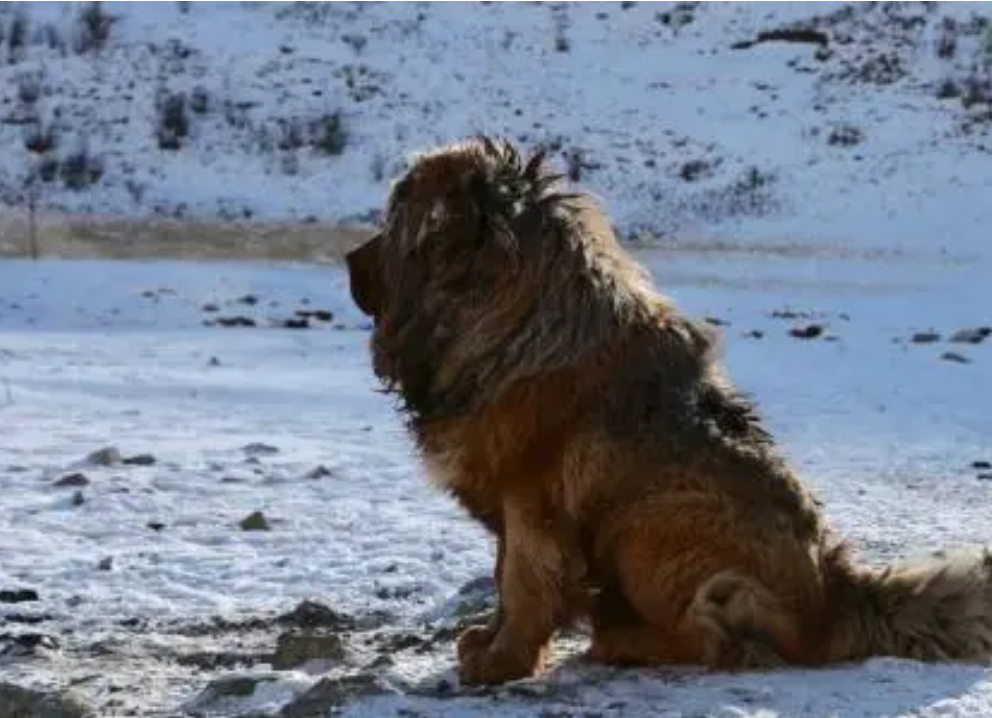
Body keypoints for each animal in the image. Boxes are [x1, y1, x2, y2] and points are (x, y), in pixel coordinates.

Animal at [344, 135, 992, 688]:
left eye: (393, 223)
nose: (348, 259)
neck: (509, 320)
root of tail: (839, 594)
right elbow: (505, 582)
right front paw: (487, 641)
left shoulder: (531, 501)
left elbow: (525, 585)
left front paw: (502, 661)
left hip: (651, 527)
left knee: (721, 640)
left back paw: (627, 640)